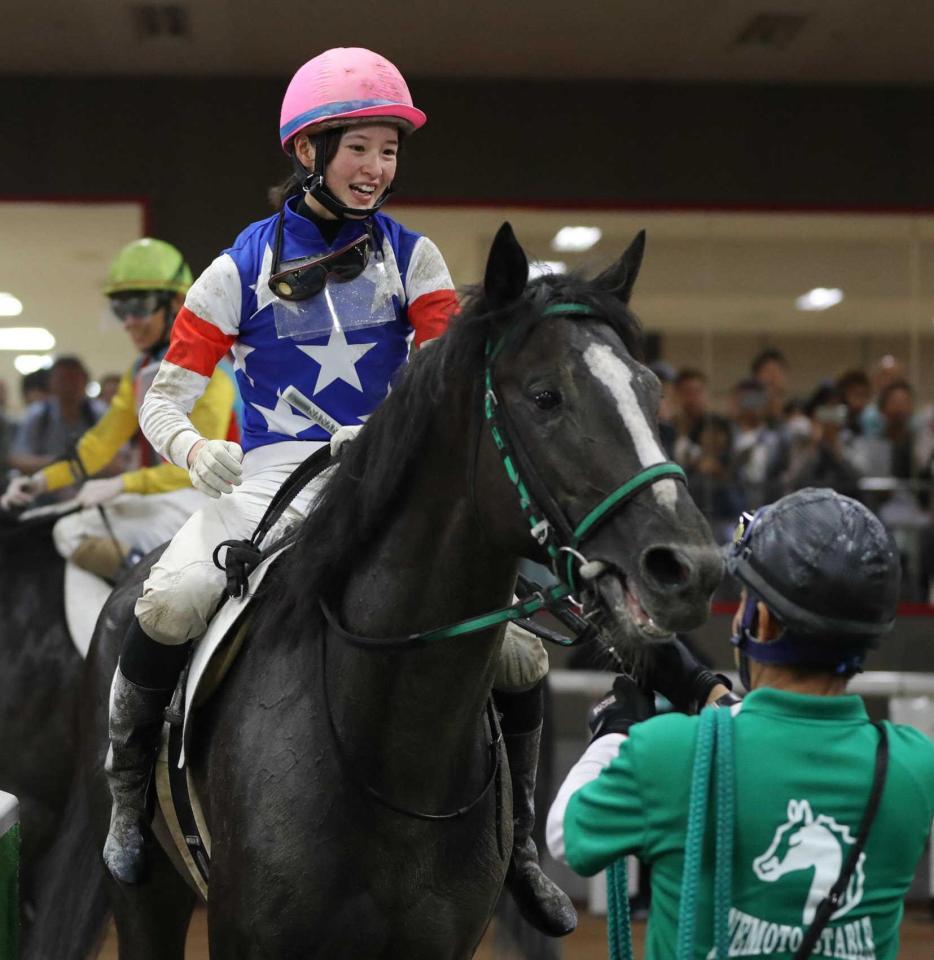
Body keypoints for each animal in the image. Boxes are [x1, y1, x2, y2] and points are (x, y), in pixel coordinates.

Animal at [27, 221, 724, 956]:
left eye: (650, 391)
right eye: (545, 396)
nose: (688, 566)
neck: (390, 747)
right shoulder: (245, 933)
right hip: (146, 891)